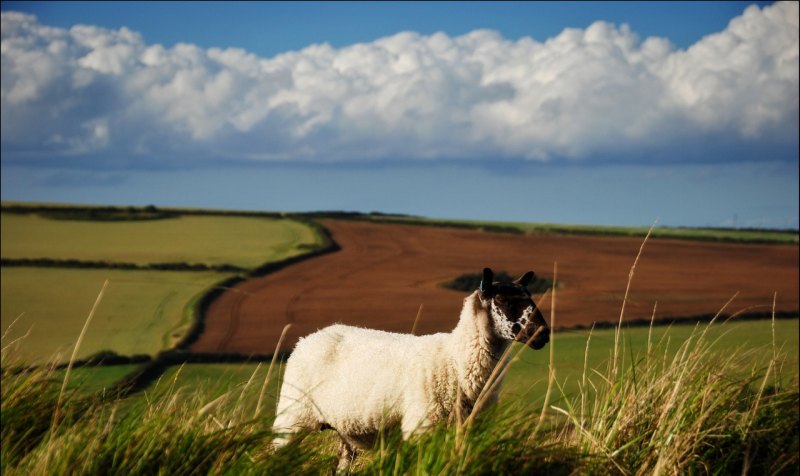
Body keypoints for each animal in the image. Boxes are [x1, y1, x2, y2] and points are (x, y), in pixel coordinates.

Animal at [268, 266, 552, 470]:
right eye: (502, 300)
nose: (543, 334)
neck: (455, 361)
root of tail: (309, 337)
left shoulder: (469, 430)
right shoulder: (422, 426)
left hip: (343, 429)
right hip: (292, 417)